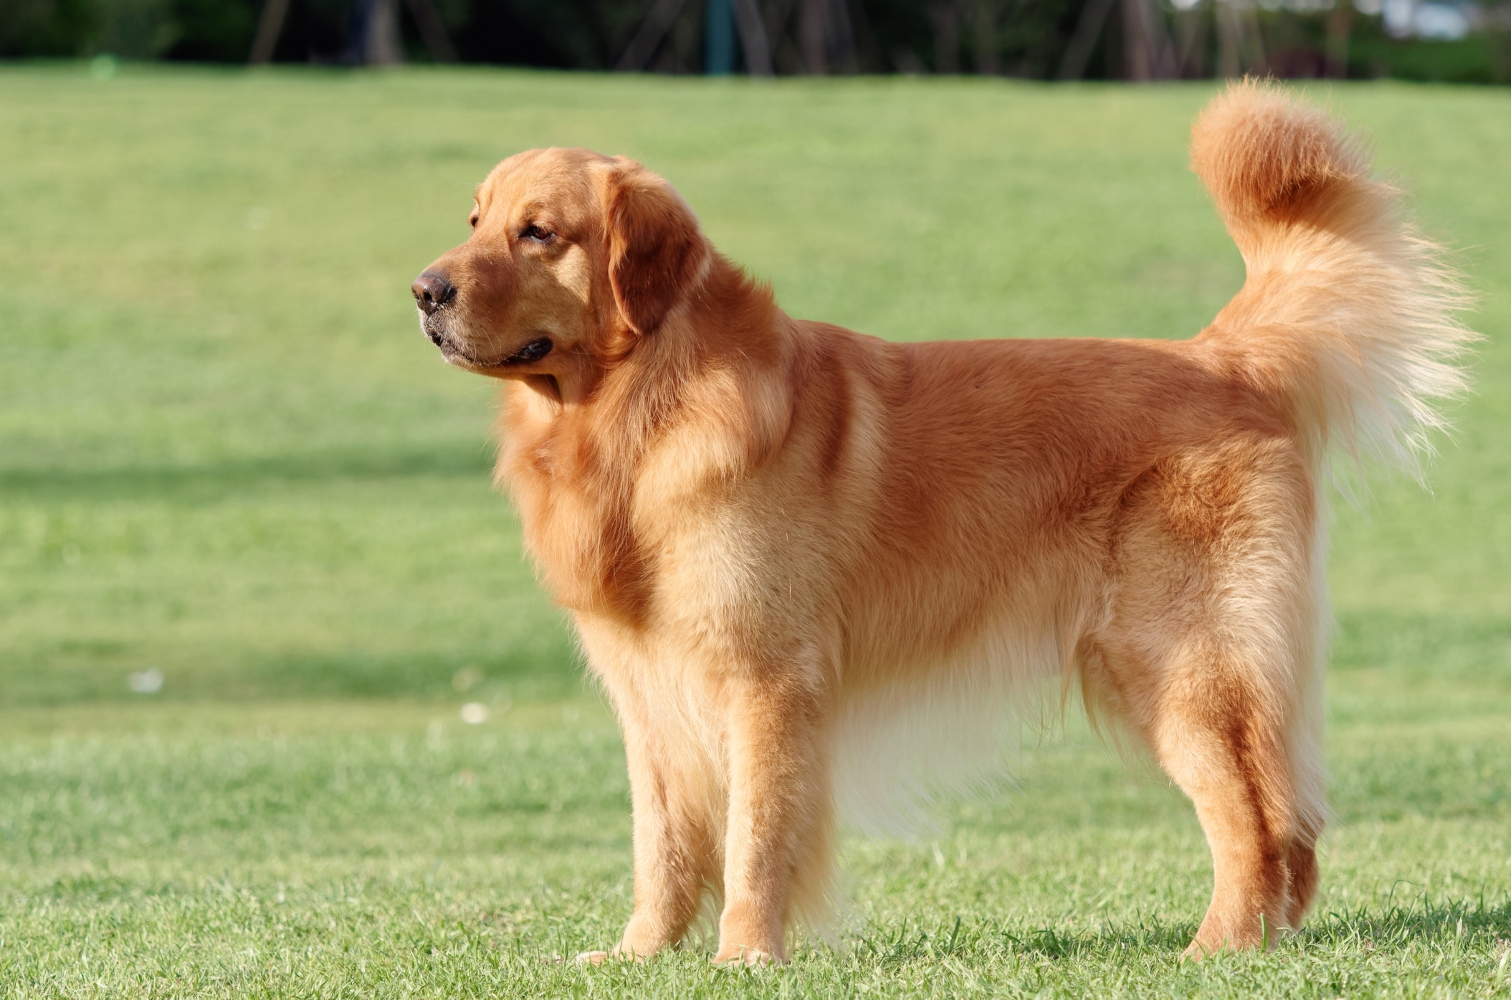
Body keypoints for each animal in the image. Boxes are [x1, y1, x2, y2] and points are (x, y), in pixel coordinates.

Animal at [414, 80, 1474, 966]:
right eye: (474, 221)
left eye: (538, 233)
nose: (424, 291)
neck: (638, 412)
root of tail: (1222, 358)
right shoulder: (647, 690)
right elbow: (662, 843)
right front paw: (641, 956)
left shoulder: (766, 677)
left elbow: (756, 837)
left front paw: (744, 957)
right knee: (1293, 823)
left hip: (1183, 669)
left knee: (1255, 821)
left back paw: (1214, 950)